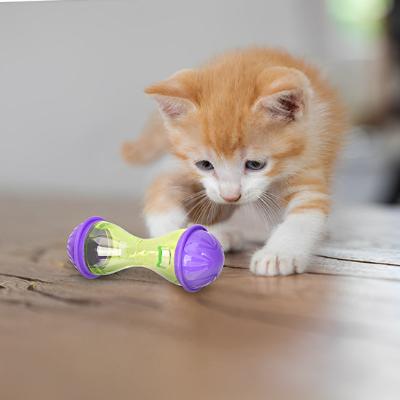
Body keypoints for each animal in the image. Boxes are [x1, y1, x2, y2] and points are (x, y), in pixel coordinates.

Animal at [122, 47, 346, 276]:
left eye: (255, 165)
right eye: (205, 165)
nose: (231, 196)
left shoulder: (309, 161)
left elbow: (305, 214)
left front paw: (278, 253)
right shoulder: (182, 165)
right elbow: (161, 188)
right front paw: (170, 235)